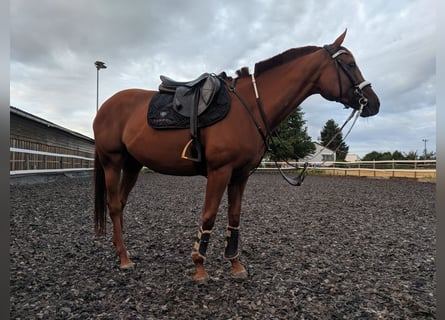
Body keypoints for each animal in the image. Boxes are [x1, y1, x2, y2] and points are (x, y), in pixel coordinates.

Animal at [93, 31, 378, 284]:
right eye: (350, 64)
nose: (374, 103)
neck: (248, 108)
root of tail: (105, 106)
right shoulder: (220, 171)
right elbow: (209, 215)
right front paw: (199, 268)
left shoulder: (240, 175)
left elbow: (234, 216)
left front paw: (235, 264)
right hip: (112, 162)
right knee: (114, 205)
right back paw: (124, 258)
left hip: (132, 165)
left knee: (121, 204)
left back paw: (123, 252)